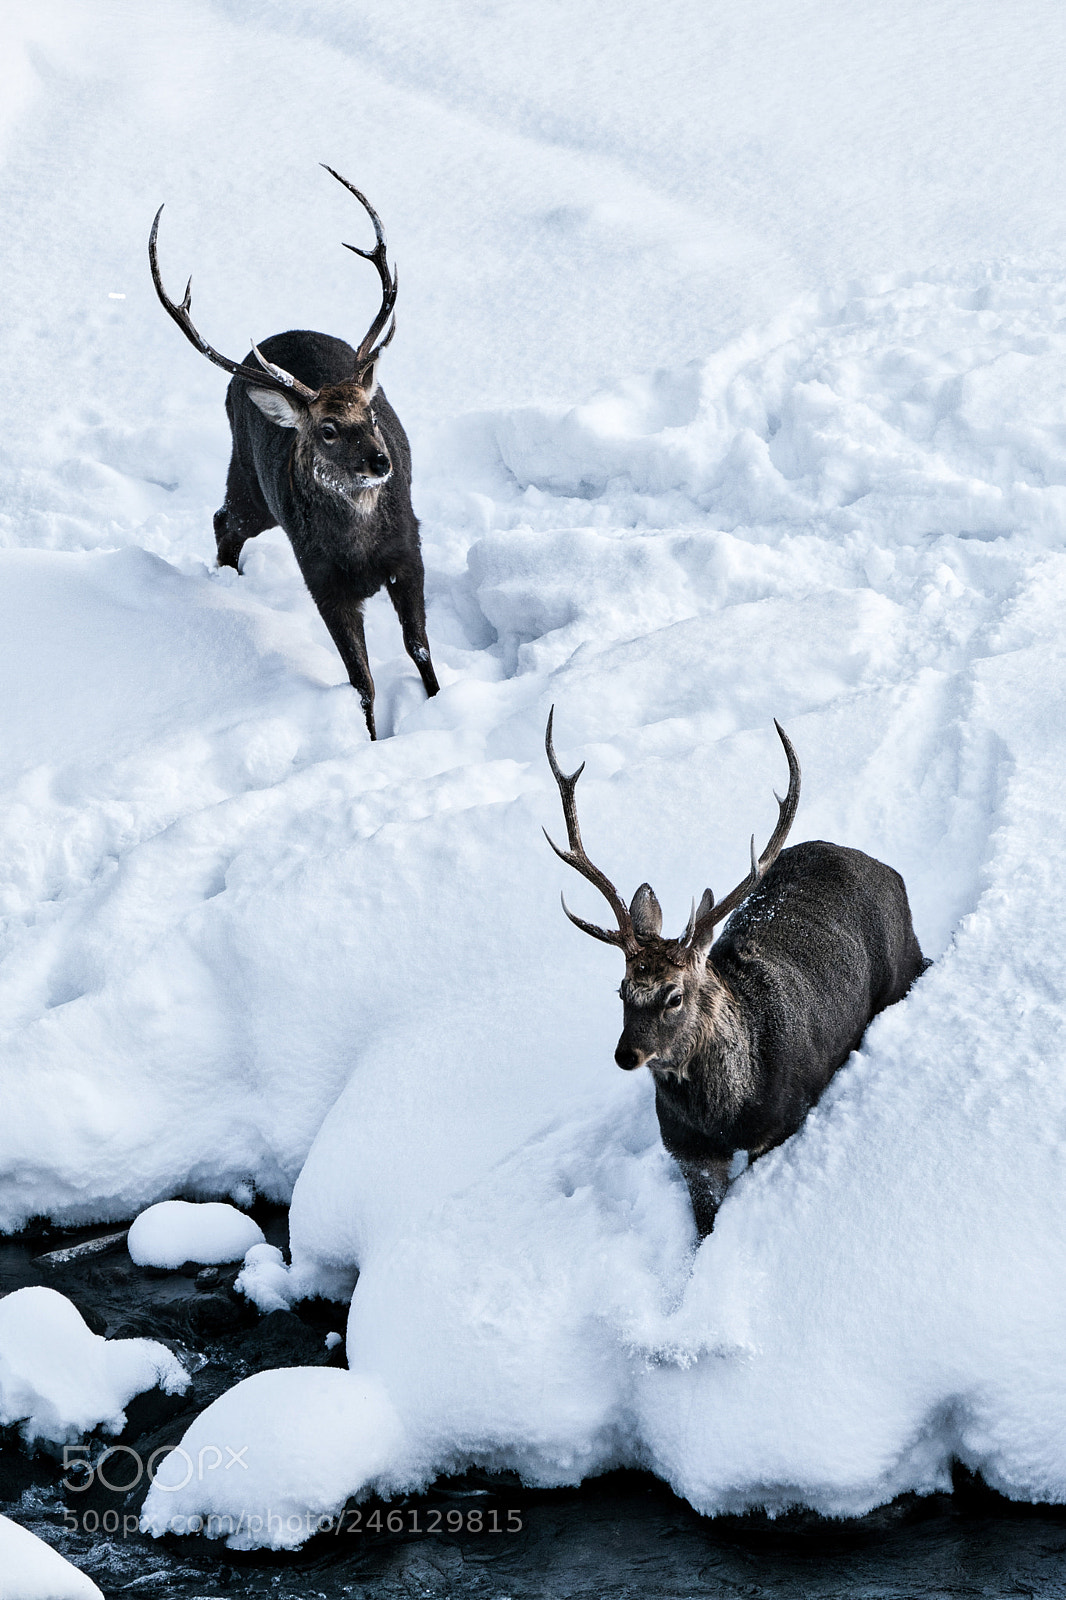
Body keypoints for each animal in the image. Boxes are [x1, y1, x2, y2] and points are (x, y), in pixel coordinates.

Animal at [148, 167, 439, 740]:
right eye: (327, 430)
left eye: (372, 417)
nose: (381, 463)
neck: (361, 550)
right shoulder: (321, 579)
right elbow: (361, 682)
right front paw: (372, 741)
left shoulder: (409, 550)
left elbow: (418, 647)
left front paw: (440, 705)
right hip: (250, 478)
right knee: (224, 518)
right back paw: (229, 583)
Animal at [544, 712, 928, 1237]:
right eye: (621, 990)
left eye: (674, 996)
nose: (627, 1054)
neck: (722, 1114)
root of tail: (886, 869)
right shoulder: (686, 1147)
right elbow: (703, 1226)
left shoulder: (786, 1118)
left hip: (904, 965)